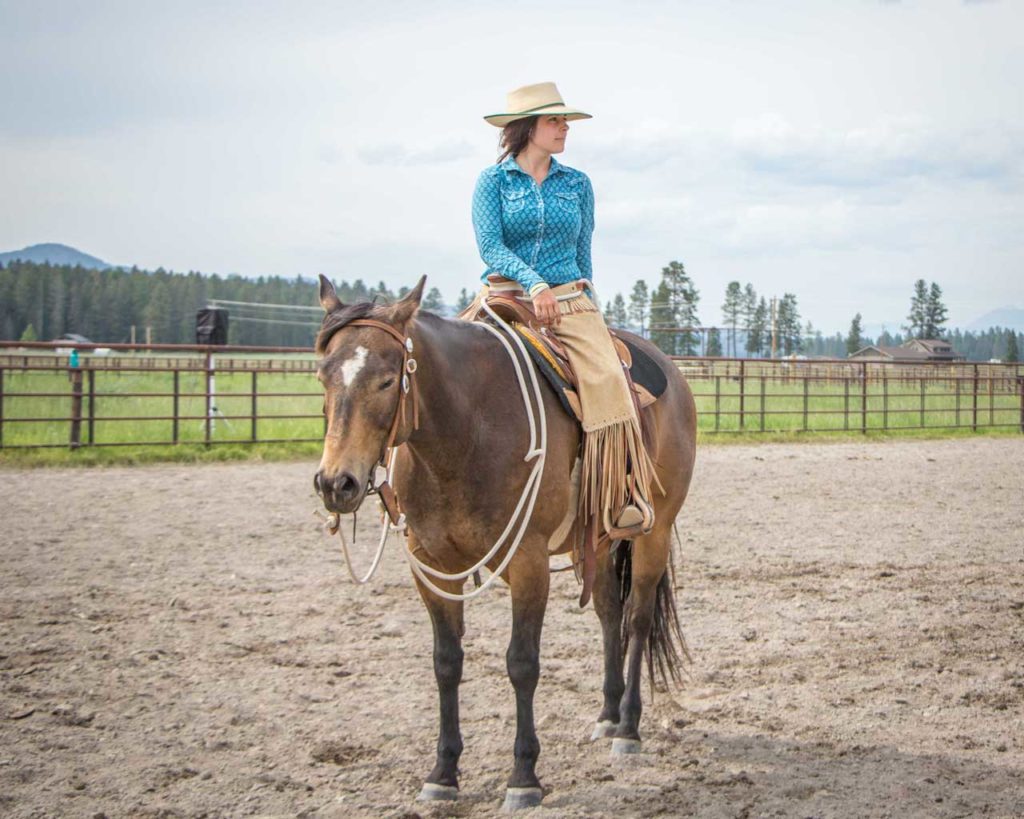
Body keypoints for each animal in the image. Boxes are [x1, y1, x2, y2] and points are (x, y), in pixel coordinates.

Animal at [311, 276, 696, 810]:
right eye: (323, 376)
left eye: (387, 380)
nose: (336, 483)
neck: (465, 430)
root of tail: (669, 371)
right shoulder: (430, 565)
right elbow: (446, 663)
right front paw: (443, 773)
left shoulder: (528, 560)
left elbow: (522, 663)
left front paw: (523, 777)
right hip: (594, 541)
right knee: (609, 614)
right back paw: (607, 715)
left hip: (653, 532)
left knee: (636, 618)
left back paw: (628, 729)